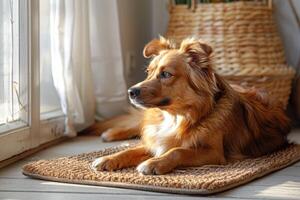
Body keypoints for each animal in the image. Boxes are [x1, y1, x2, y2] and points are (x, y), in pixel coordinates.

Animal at [92, 36, 290, 174]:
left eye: (166, 74)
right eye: (149, 72)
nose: (131, 92)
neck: (176, 117)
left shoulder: (214, 152)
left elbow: (178, 151)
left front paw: (154, 163)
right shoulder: (156, 139)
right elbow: (130, 150)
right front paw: (108, 158)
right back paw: (110, 133)